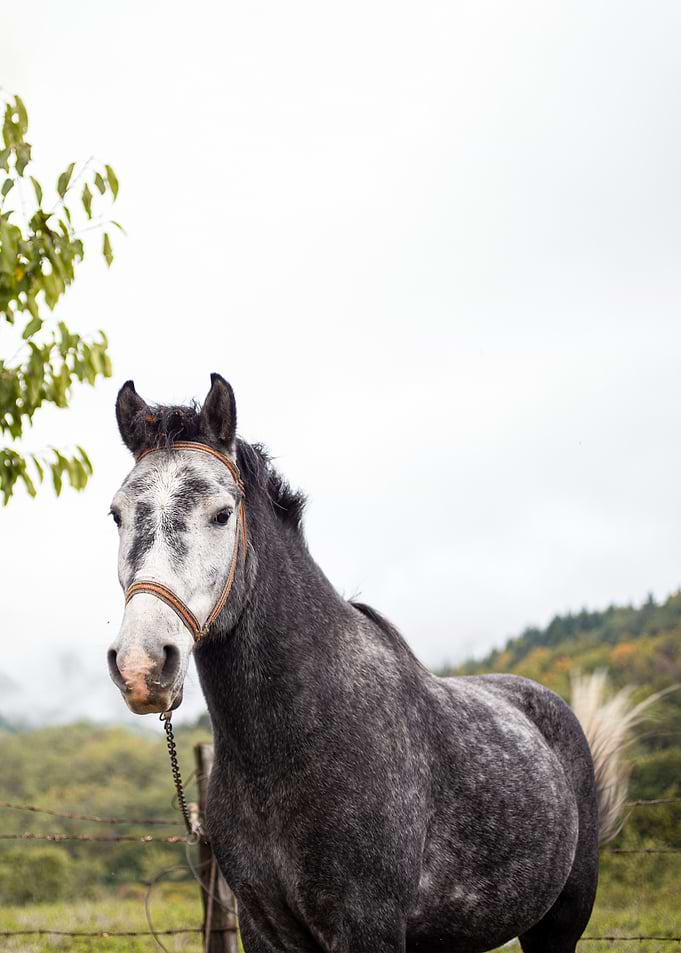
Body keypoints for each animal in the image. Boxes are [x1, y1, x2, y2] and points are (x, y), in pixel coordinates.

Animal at [108, 374, 624, 953]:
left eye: (221, 514)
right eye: (117, 515)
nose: (142, 665)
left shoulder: (366, 924)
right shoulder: (261, 927)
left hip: (559, 924)